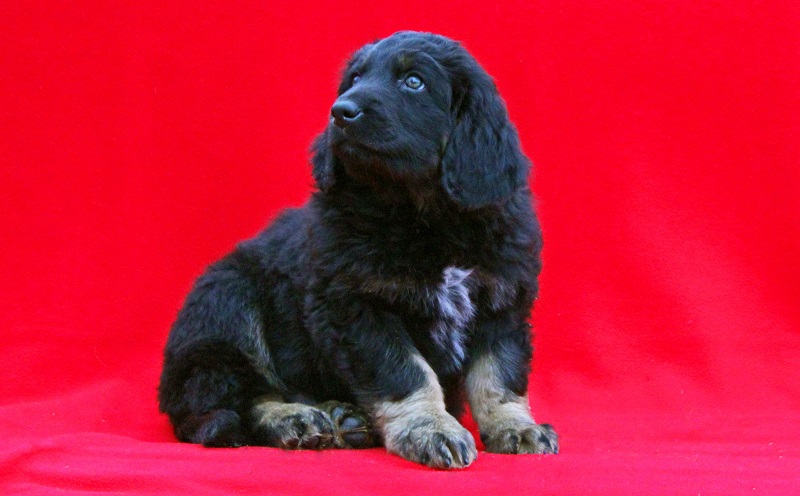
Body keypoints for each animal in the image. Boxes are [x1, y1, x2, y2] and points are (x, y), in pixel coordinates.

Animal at [158, 31, 558, 469]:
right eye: (354, 79)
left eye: (413, 82)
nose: (340, 112)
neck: (424, 217)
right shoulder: (355, 306)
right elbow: (407, 372)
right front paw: (430, 429)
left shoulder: (503, 303)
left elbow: (498, 376)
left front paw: (515, 427)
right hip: (227, 300)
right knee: (229, 398)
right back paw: (295, 418)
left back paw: (341, 415)